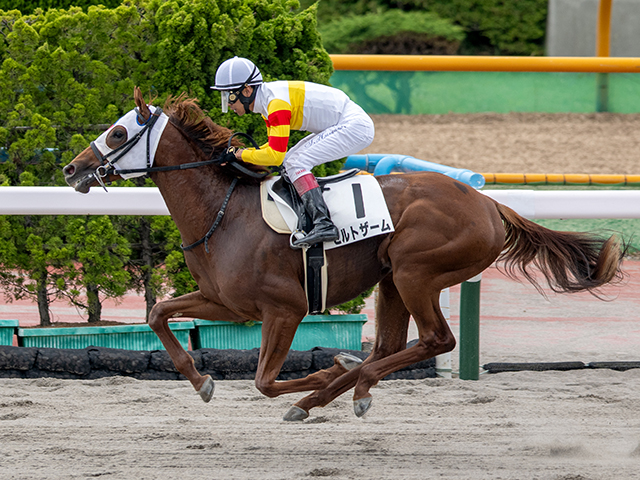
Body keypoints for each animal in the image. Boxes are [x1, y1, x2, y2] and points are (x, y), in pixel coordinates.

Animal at [63, 88, 624, 422]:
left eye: (118, 132)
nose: (72, 169)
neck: (224, 211)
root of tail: (489, 202)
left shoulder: (285, 307)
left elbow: (265, 381)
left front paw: (321, 374)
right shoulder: (225, 301)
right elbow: (158, 312)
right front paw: (202, 381)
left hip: (417, 271)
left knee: (435, 340)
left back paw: (341, 388)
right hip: (393, 280)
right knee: (389, 346)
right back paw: (339, 386)